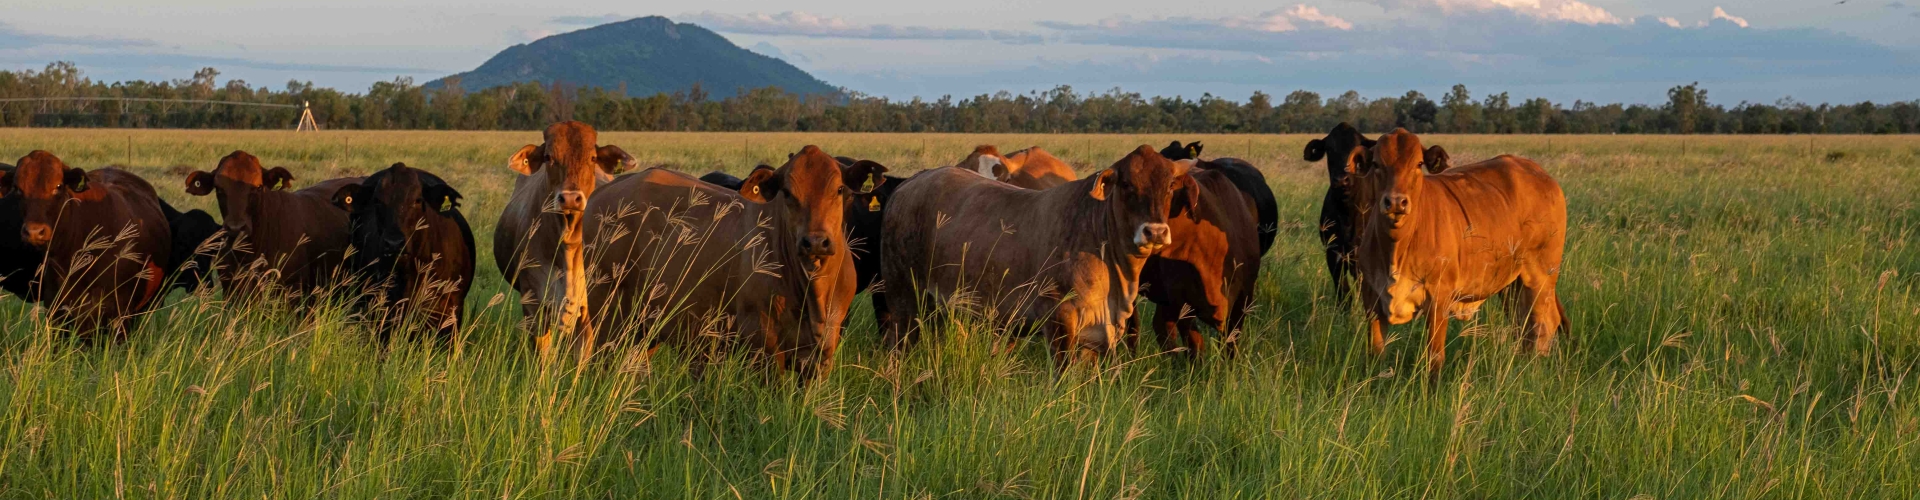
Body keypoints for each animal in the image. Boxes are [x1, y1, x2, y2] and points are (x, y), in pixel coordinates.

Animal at [495, 121, 635, 361]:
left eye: (592, 157)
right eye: (548, 157)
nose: (570, 198)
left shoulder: (589, 309)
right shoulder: (534, 304)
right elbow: (544, 357)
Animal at [585, 145, 859, 381]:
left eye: (839, 189)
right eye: (787, 192)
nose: (815, 241)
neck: (814, 293)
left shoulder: (822, 354)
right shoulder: (764, 344)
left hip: (646, 325)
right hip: (606, 313)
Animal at [881, 145, 1195, 367]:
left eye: (1170, 185)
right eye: (1127, 184)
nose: (1155, 232)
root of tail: (910, 183)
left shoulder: (1096, 336)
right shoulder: (1059, 320)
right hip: (902, 295)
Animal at [1303, 123, 1448, 303]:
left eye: (1355, 150)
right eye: (1329, 149)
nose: (1342, 179)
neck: (1347, 213)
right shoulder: (1333, 253)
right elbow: (1344, 293)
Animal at [1350, 129, 1567, 377]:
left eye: (1418, 164)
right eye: (1376, 163)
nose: (1396, 201)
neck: (1396, 249)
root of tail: (1538, 172)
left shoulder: (1439, 300)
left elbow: (1435, 358)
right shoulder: (1372, 301)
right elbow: (1376, 356)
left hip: (1541, 276)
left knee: (1544, 323)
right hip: (1513, 284)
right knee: (1524, 324)